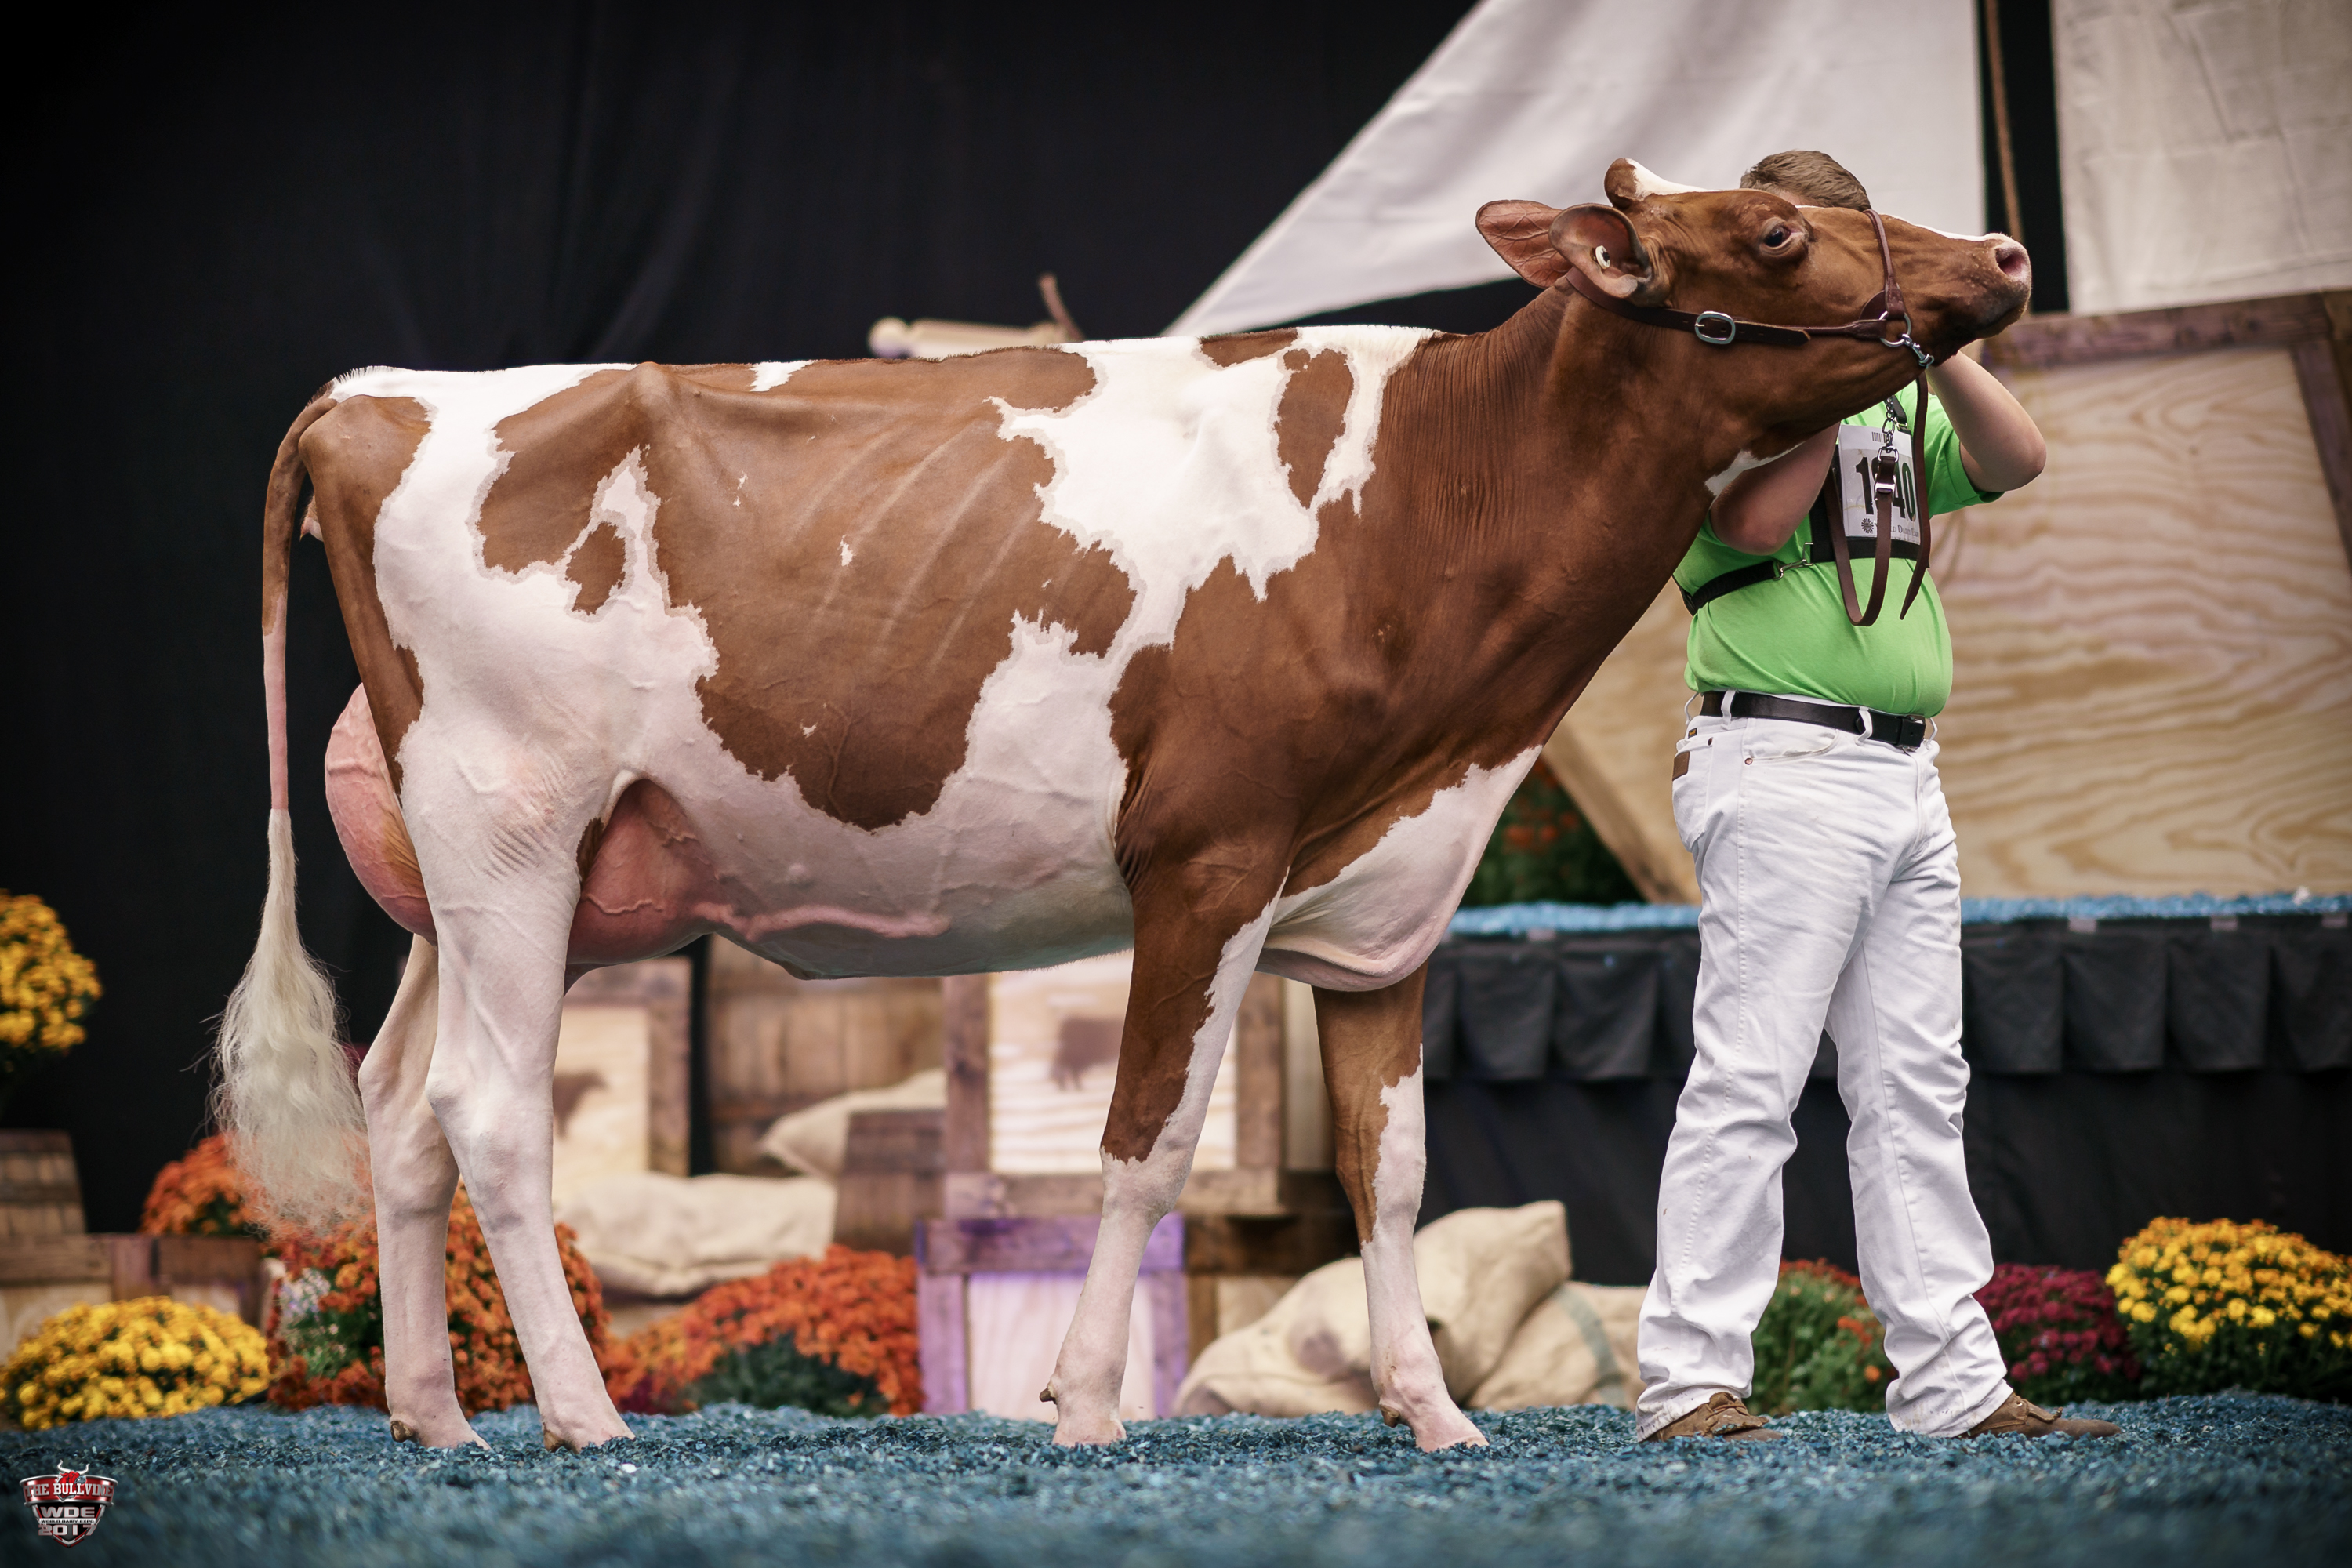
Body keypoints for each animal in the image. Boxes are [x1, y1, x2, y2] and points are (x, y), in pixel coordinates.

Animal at [219, 159, 2030, 1455]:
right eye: (1780, 230)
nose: (2006, 261)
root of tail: (380, 393)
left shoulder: (1387, 899)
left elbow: (1392, 1165)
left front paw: (1432, 1412)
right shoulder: (1209, 857)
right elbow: (1146, 1148)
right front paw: (1086, 1403)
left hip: (484, 881)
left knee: (400, 1107)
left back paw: (436, 1416)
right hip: (513, 825)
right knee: (491, 1109)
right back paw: (584, 1417)